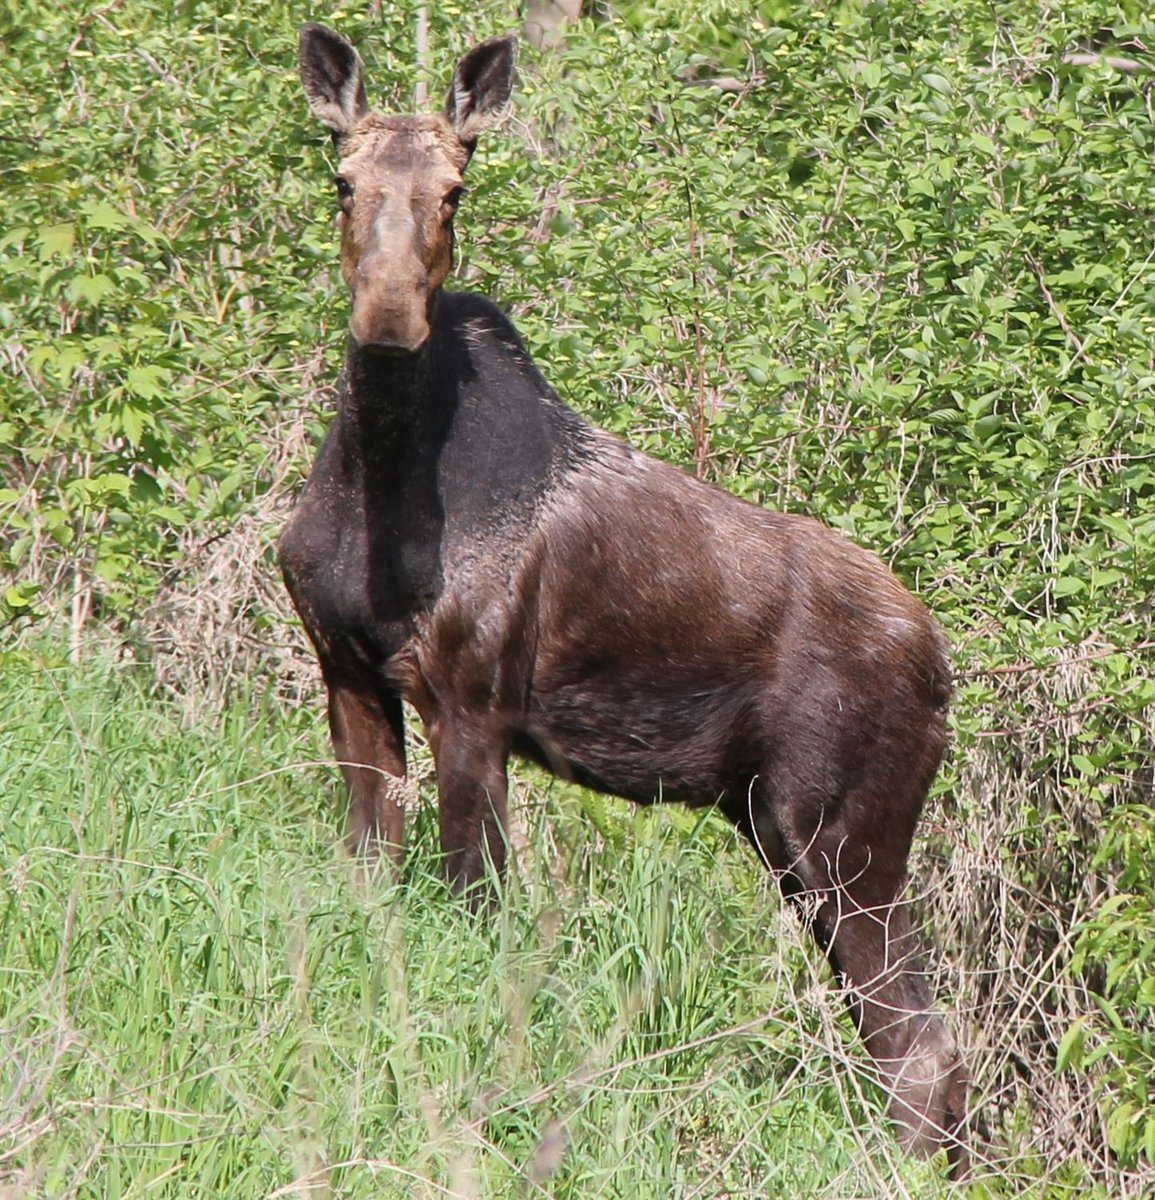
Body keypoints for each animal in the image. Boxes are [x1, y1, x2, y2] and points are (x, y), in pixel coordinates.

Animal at [280, 22, 970, 1174]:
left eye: (456, 190)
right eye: (341, 180)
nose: (384, 323)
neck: (377, 482)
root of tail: (946, 672)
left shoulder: (473, 703)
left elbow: (475, 910)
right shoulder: (349, 672)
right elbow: (371, 881)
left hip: (840, 826)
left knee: (921, 1038)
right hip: (778, 826)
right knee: (901, 1034)